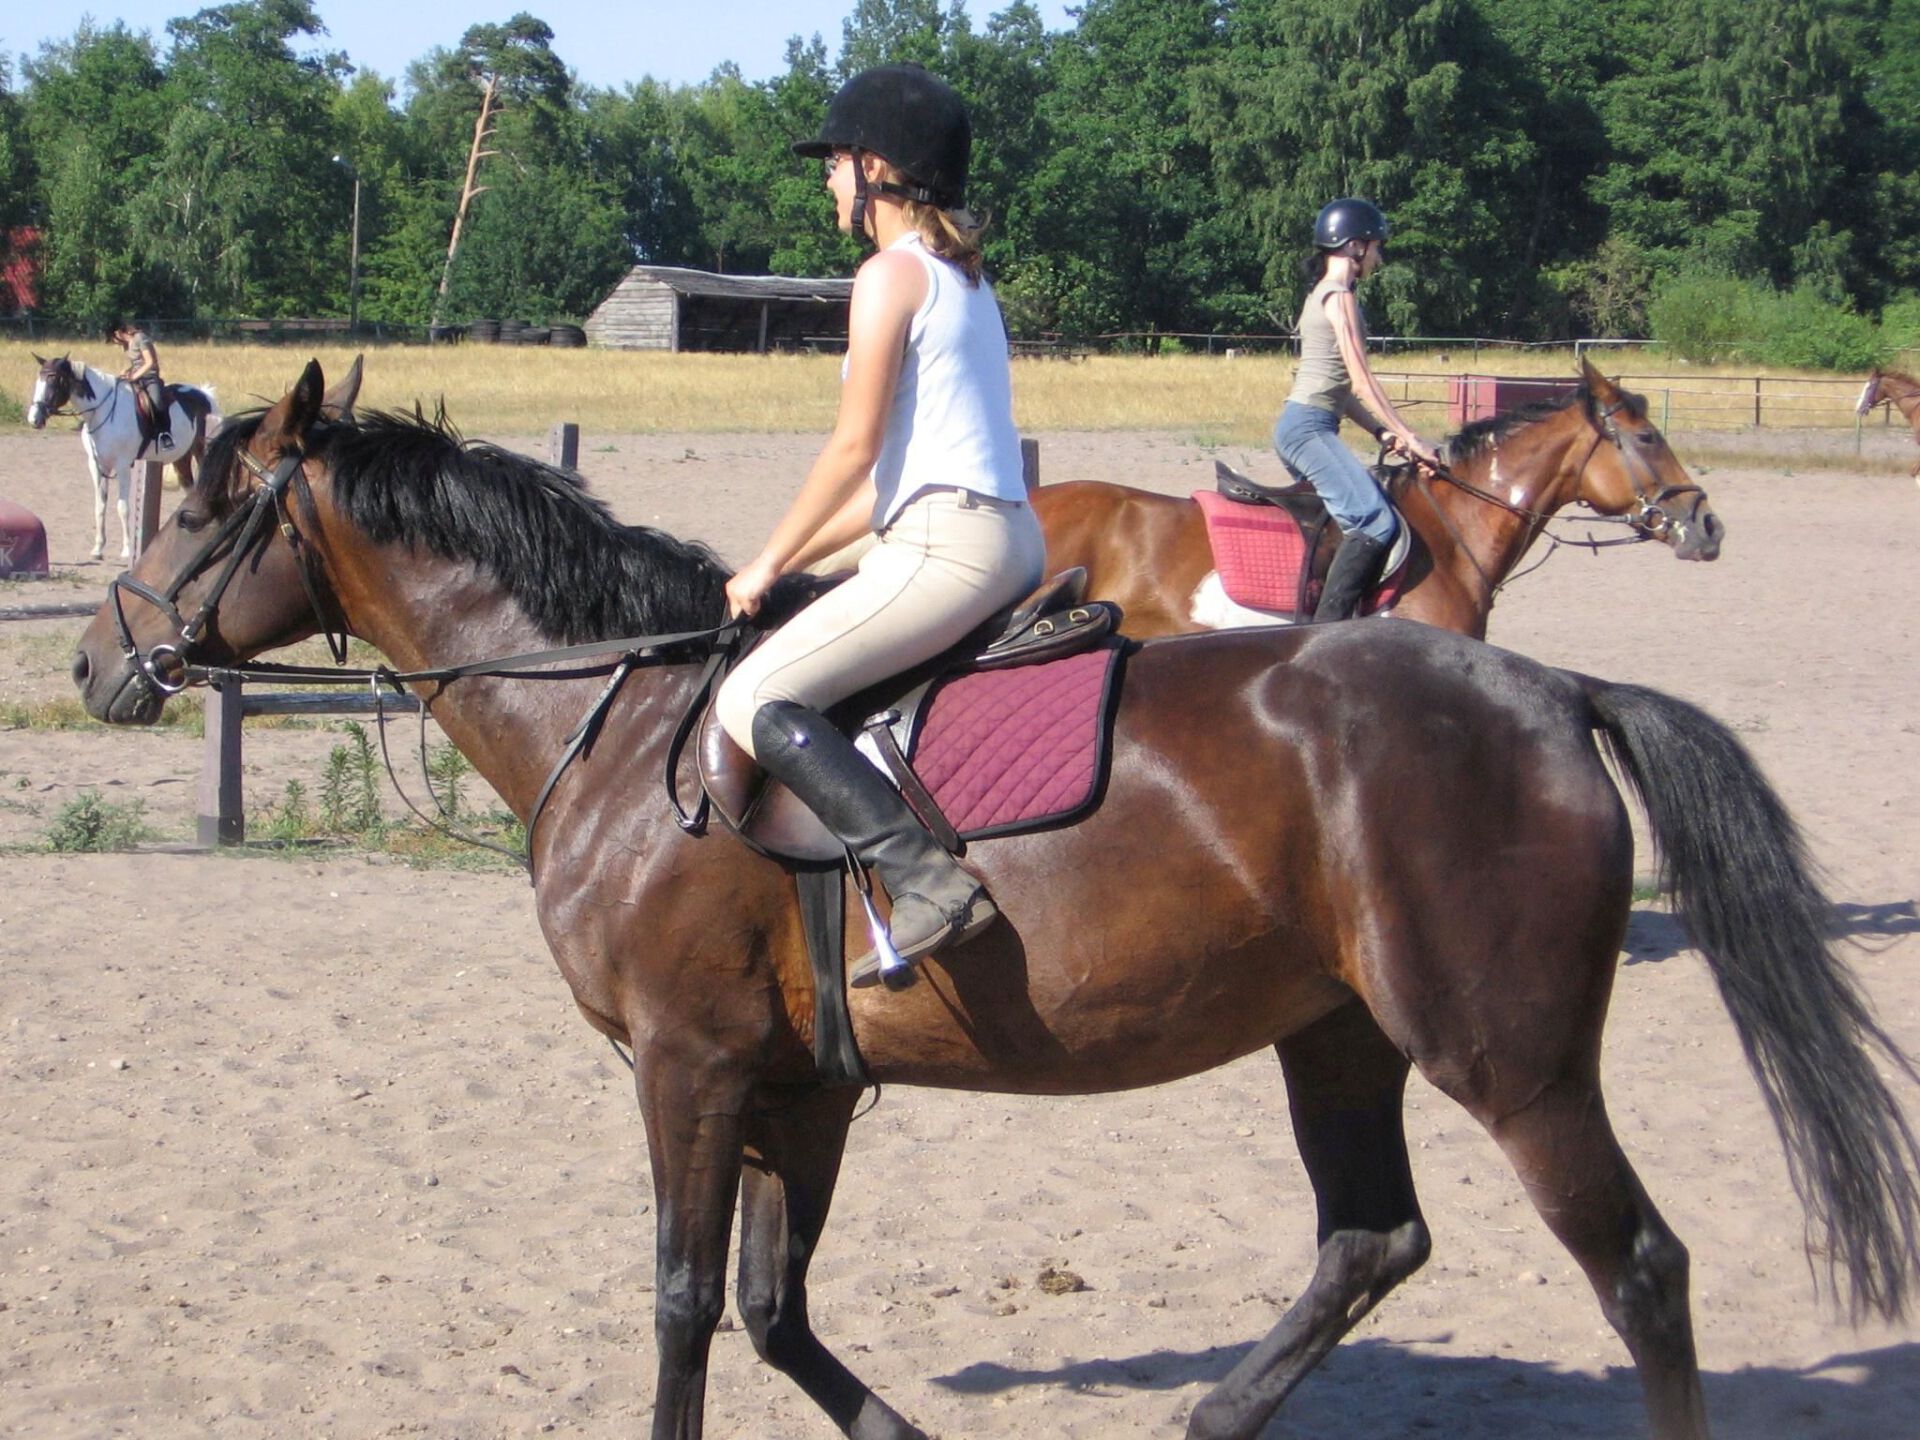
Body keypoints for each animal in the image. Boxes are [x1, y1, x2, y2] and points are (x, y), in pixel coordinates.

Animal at [25, 353, 220, 561]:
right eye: (38, 380)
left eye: (53, 380)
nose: (34, 419)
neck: (102, 412)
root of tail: (204, 394)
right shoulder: (97, 466)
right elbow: (100, 506)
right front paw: (98, 548)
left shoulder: (123, 466)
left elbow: (122, 507)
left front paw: (126, 550)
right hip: (181, 458)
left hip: (199, 452)